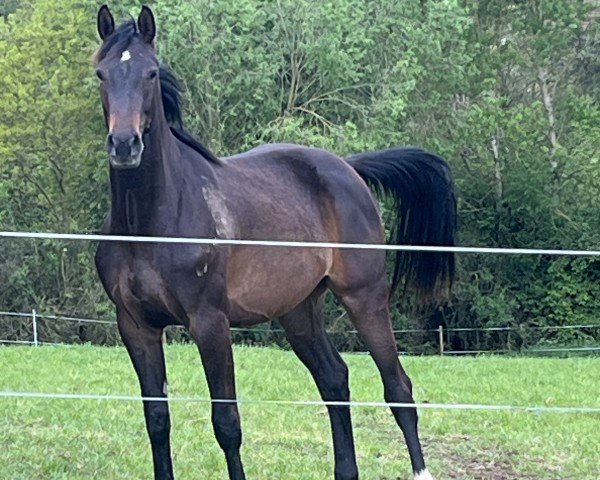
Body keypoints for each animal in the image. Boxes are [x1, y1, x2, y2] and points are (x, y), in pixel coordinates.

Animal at [92, 4, 454, 480]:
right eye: (100, 74)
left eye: (151, 73)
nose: (124, 144)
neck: (152, 223)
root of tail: (348, 167)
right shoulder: (137, 326)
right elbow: (157, 420)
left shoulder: (210, 324)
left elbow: (227, 423)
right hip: (299, 311)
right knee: (334, 379)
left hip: (365, 298)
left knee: (398, 387)